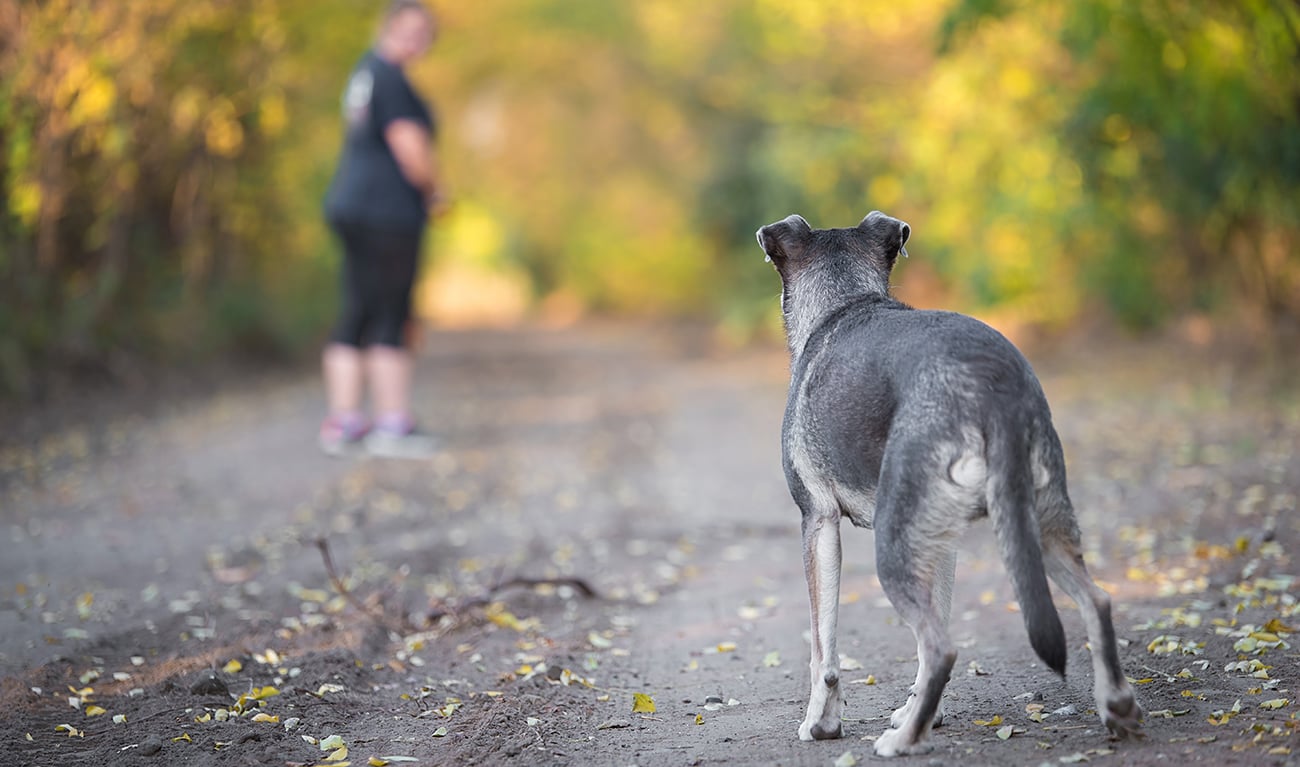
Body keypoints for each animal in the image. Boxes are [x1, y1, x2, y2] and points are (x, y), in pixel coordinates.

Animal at [759, 210, 1144, 759]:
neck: (844, 301)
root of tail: (992, 386)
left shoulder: (818, 522)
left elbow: (823, 647)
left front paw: (823, 723)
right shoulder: (943, 540)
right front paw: (922, 711)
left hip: (895, 546)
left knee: (941, 646)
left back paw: (902, 741)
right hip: (1033, 524)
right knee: (1097, 601)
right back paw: (1117, 706)